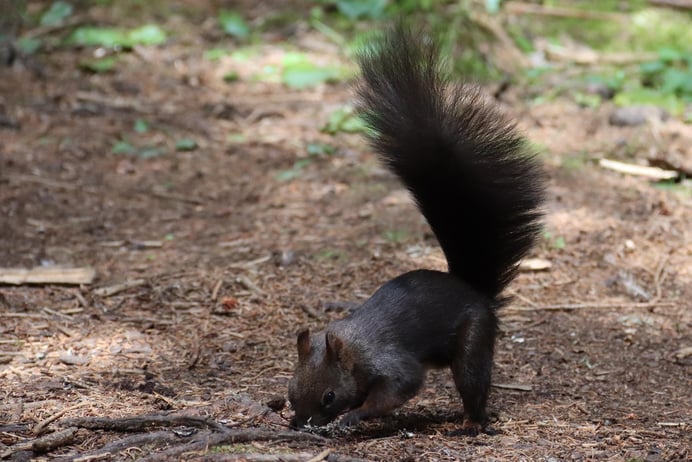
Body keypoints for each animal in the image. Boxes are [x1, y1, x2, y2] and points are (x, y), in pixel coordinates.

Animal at [288, 25, 545, 433]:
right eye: (290, 391)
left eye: (328, 396)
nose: (300, 424)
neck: (353, 347)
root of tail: (474, 291)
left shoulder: (391, 362)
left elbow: (399, 387)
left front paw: (354, 416)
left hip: (473, 338)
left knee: (473, 380)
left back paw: (474, 421)